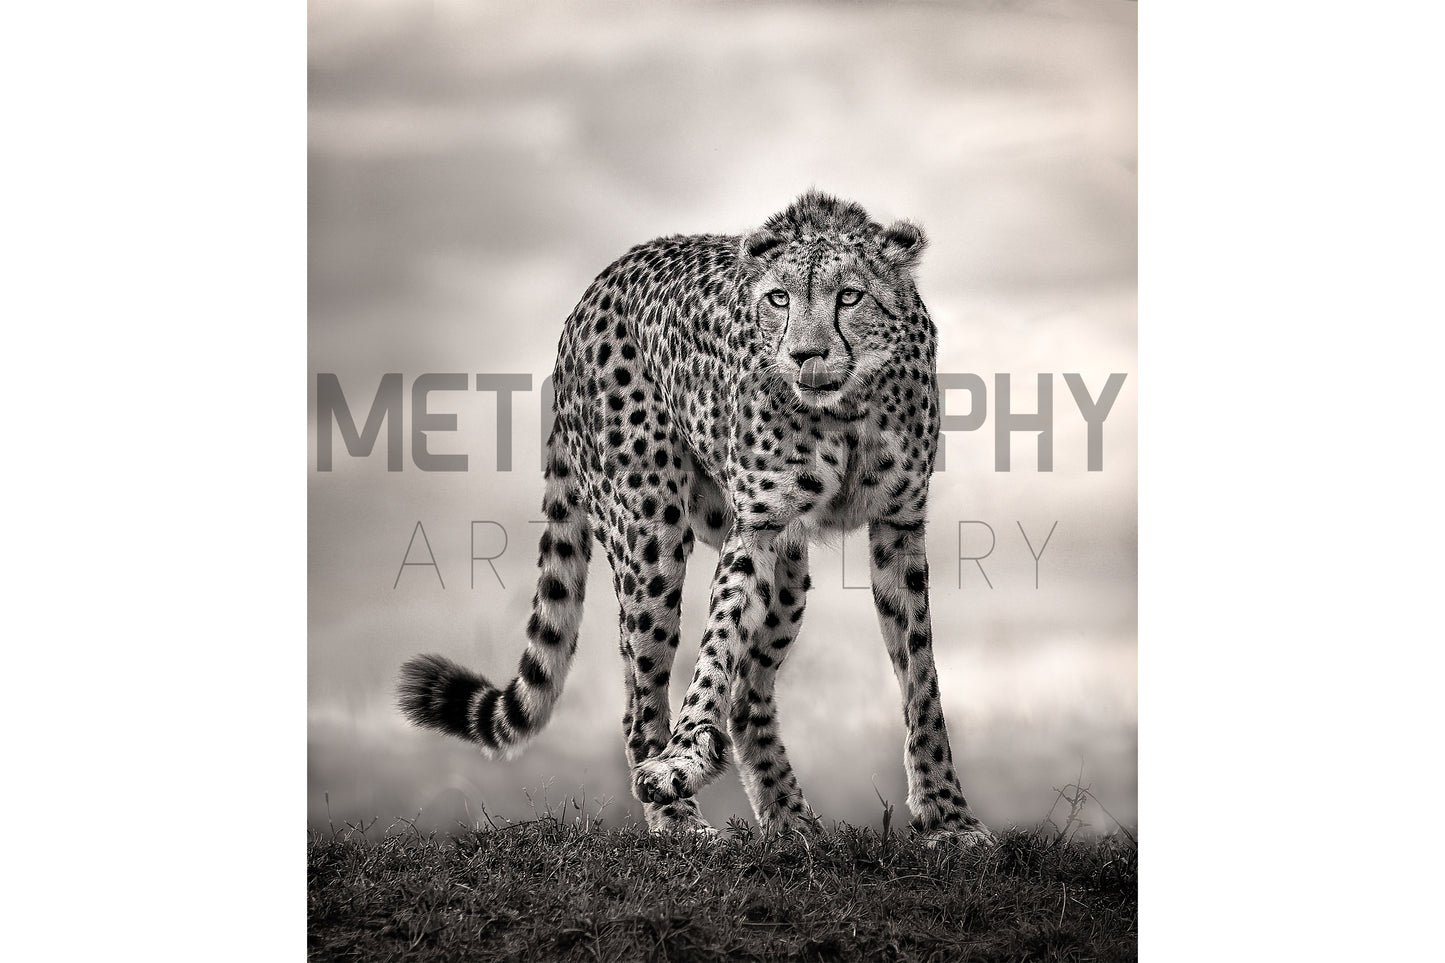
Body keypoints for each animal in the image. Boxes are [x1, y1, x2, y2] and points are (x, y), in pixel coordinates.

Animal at [398, 191, 993, 845]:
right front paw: (680, 761)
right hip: (650, 535)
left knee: (748, 696)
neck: (847, 408)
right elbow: (716, 643)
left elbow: (921, 677)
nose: (804, 355)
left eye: (850, 296)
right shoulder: (755, 525)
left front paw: (948, 815)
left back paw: (791, 822)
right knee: (641, 695)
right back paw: (678, 818)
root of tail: (592, 292)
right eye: (778, 299)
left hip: (787, 571)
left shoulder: (898, 524)